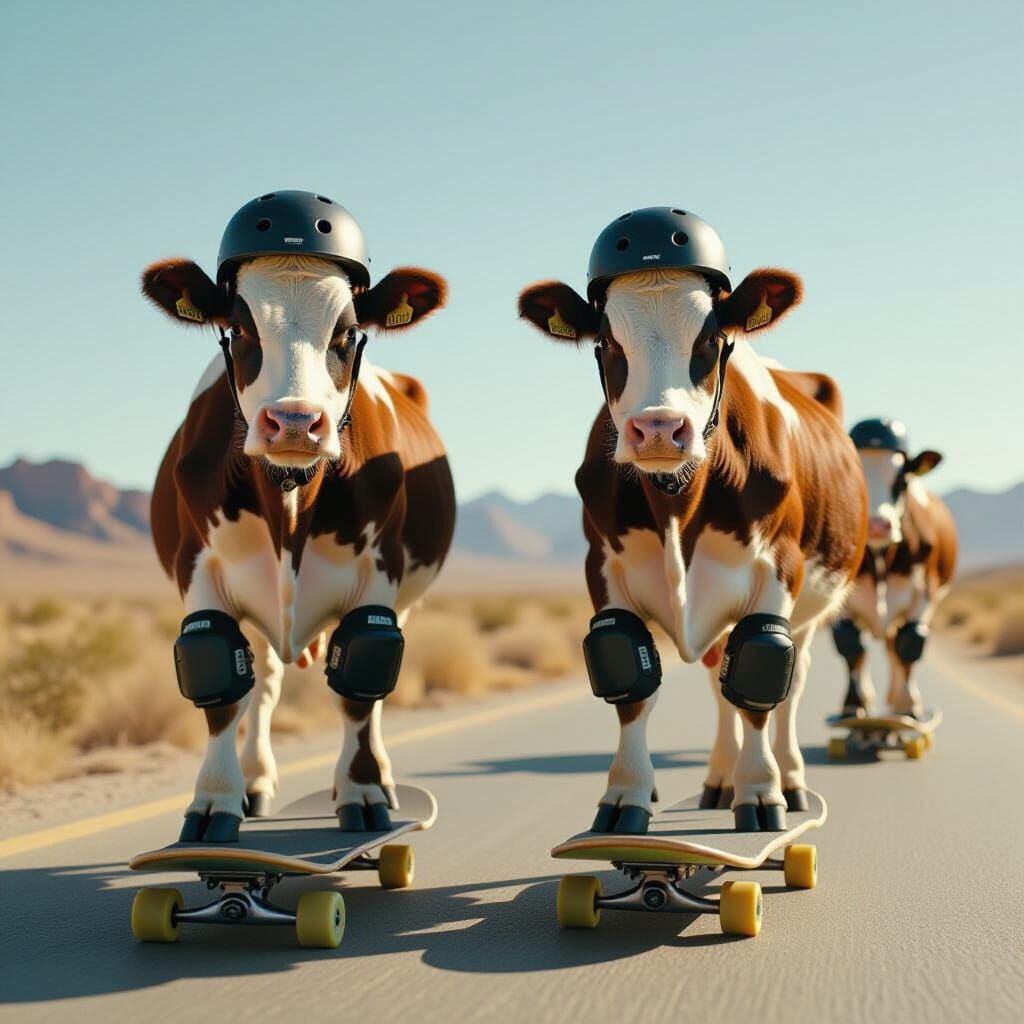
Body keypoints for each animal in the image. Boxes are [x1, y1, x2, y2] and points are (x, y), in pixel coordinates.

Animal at [141, 190, 455, 842]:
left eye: (349, 331)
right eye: (238, 327)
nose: (293, 422)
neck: (289, 507)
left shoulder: (380, 573)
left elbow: (359, 690)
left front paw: (362, 793)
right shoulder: (198, 569)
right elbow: (221, 693)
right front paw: (215, 800)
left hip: (405, 598)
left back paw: (378, 778)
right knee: (262, 682)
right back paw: (257, 781)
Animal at [518, 207, 866, 833]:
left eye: (710, 338)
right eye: (607, 340)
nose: (659, 428)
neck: (678, 507)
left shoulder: (780, 570)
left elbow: (758, 687)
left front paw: (762, 793)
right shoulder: (602, 569)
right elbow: (633, 686)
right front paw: (625, 796)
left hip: (810, 608)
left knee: (789, 681)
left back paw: (790, 778)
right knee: (714, 673)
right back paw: (719, 778)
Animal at [831, 418, 957, 718]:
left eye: (902, 481)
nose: (877, 524)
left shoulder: (924, 593)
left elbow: (909, 644)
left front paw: (908, 705)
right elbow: (851, 644)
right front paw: (853, 704)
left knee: (895, 646)